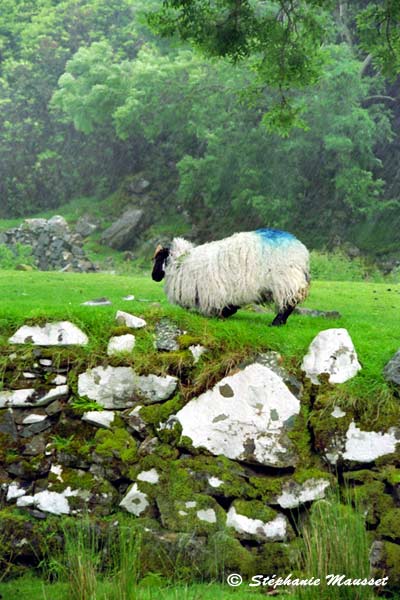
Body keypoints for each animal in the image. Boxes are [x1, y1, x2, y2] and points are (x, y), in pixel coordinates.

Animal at [152, 229, 310, 324]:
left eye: (159, 258)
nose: (154, 276)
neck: (181, 262)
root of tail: (300, 250)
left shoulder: (211, 291)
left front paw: (216, 315)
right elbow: (230, 306)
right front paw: (224, 313)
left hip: (285, 280)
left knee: (289, 303)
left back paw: (277, 323)